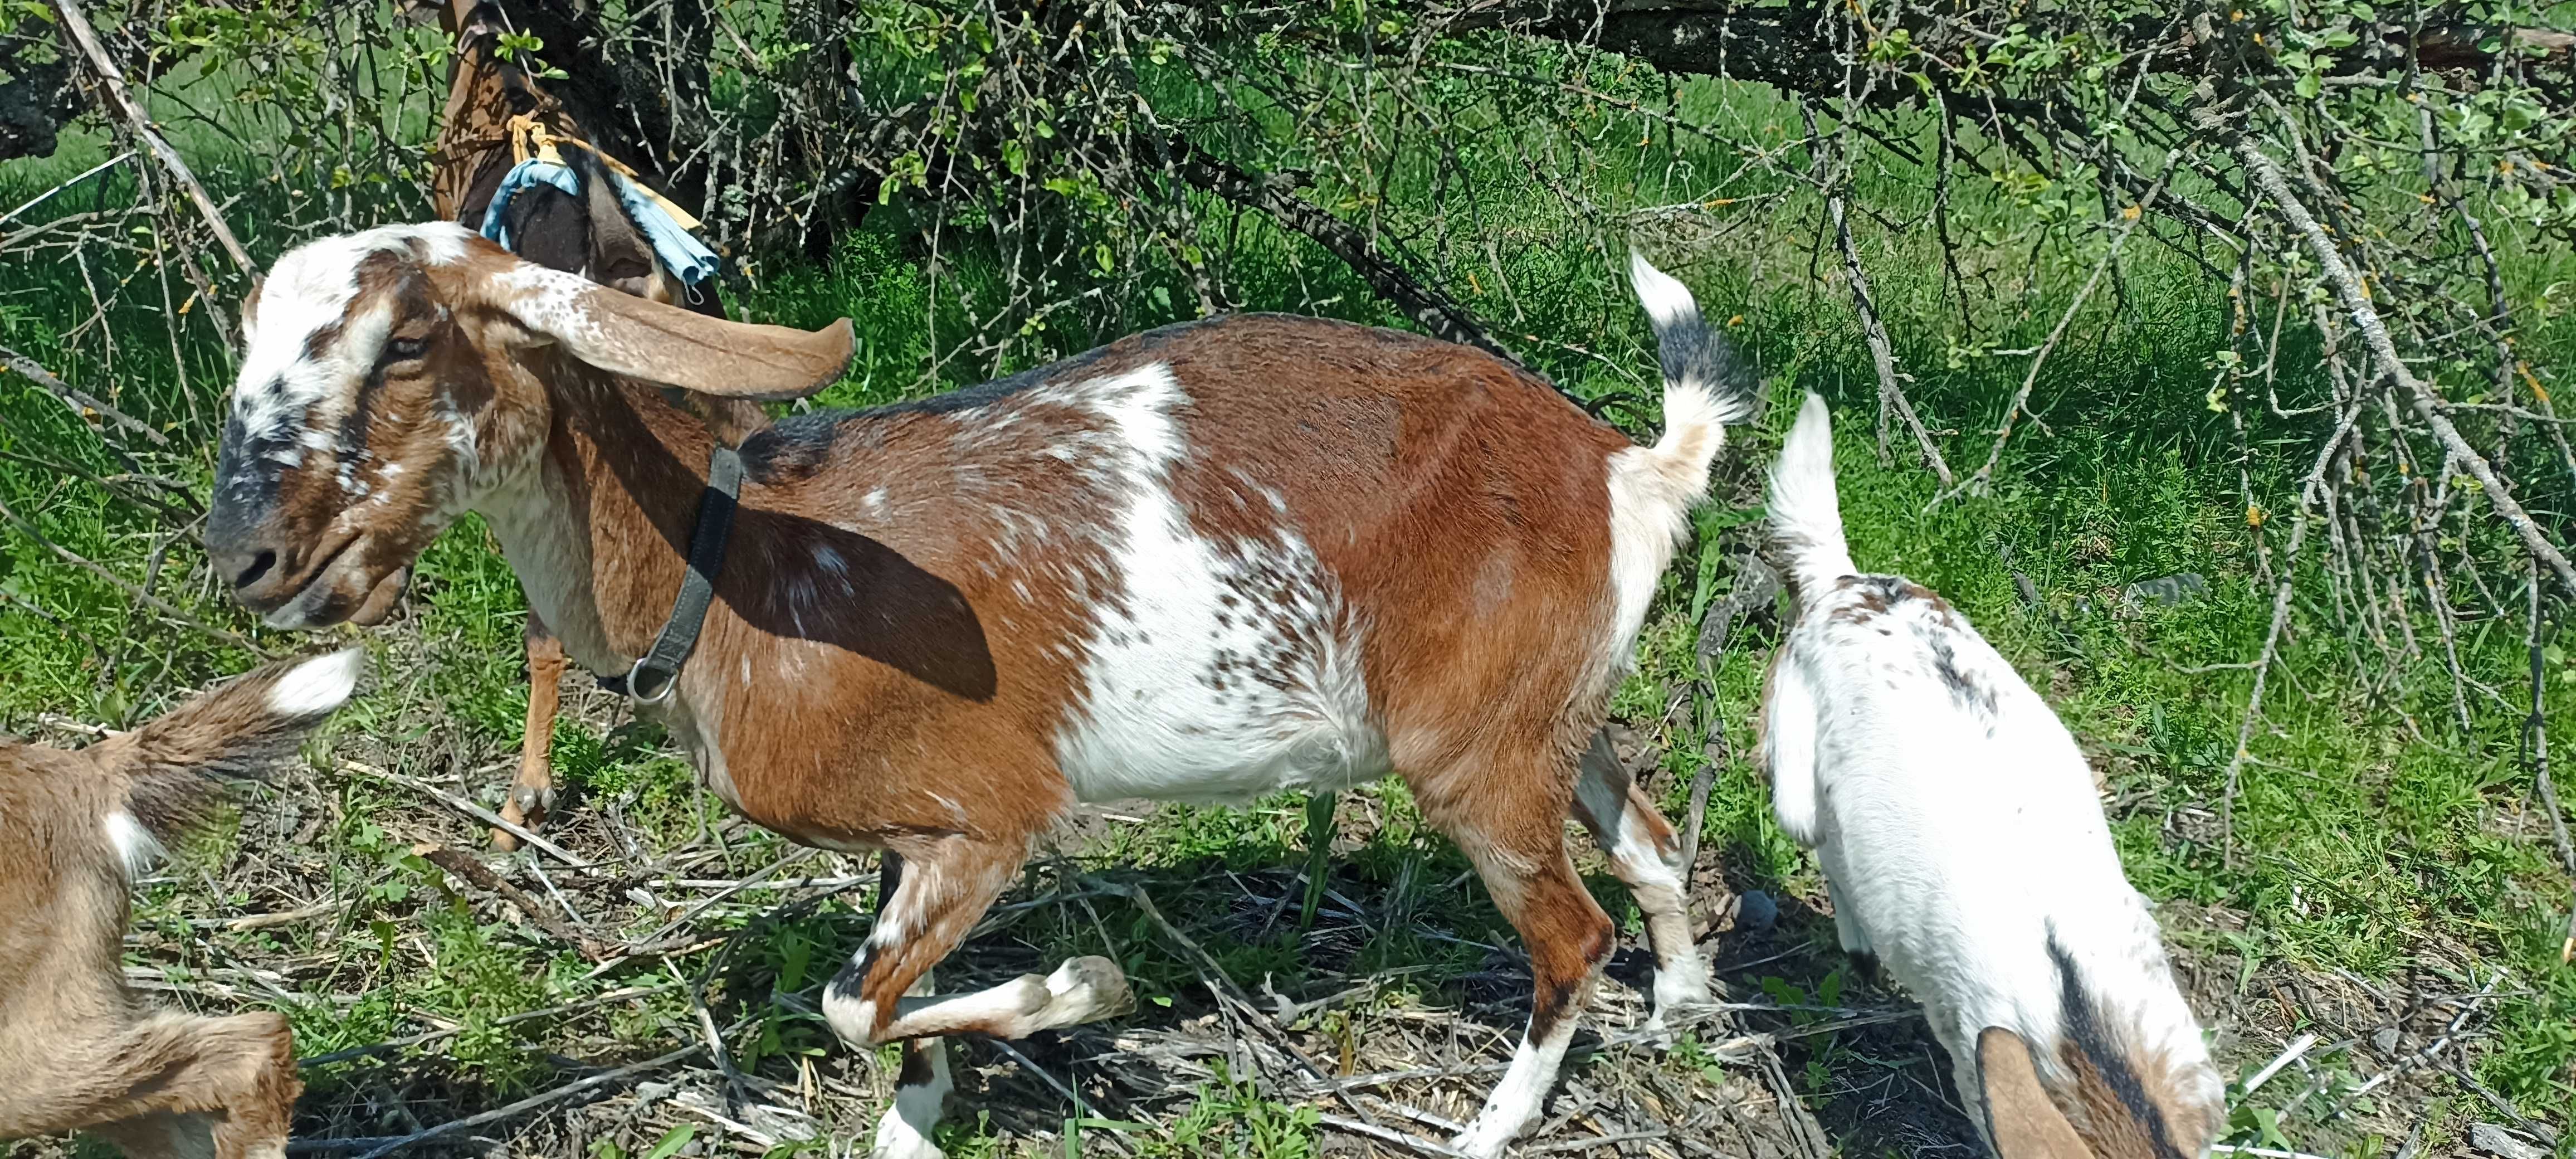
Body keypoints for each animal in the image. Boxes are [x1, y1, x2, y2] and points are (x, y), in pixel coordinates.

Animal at [196, 229, 1731, 1159]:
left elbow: (849, 1006)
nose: (243, 555)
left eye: (403, 343)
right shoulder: (909, 843)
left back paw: (1488, 1125)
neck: (736, 561)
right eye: (247, 344)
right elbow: (886, 1012)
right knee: (1650, 842)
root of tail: (1623, 464)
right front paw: (918, 1117)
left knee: (1570, 934)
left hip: (1468, 759)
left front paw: (1076, 989)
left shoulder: (987, 818)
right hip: (1549, 714)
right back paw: (1680, 1014)